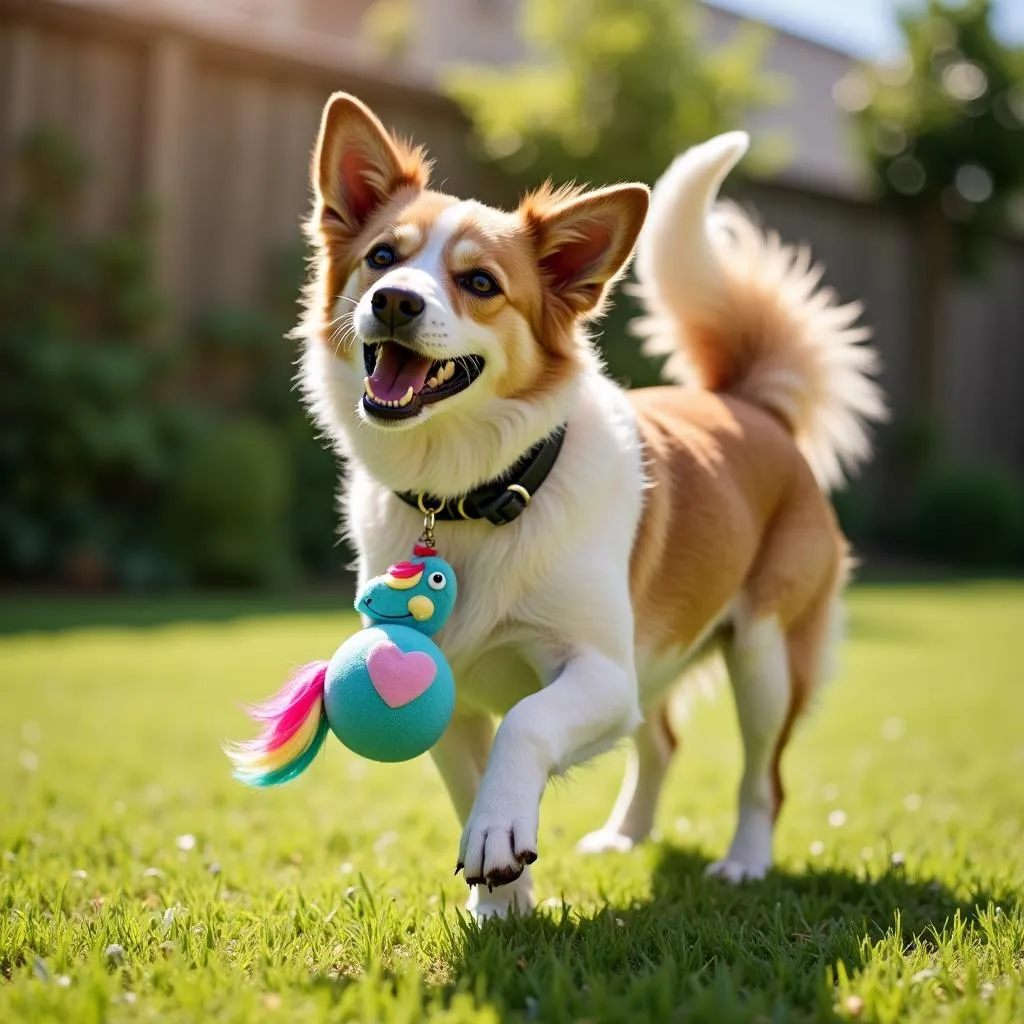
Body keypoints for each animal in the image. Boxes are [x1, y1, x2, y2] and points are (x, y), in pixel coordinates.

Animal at [299, 94, 888, 921]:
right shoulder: (452, 691)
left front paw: (500, 847)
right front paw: (501, 902)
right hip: (659, 657)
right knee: (661, 741)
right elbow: (471, 787)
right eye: (383, 257)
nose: (394, 300)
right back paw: (625, 837)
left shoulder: (601, 673)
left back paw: (744, 862)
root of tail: (748, 403)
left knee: (762, 779)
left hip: (766, 656)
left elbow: (524, 724)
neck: (469, 496)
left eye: (480, 282)